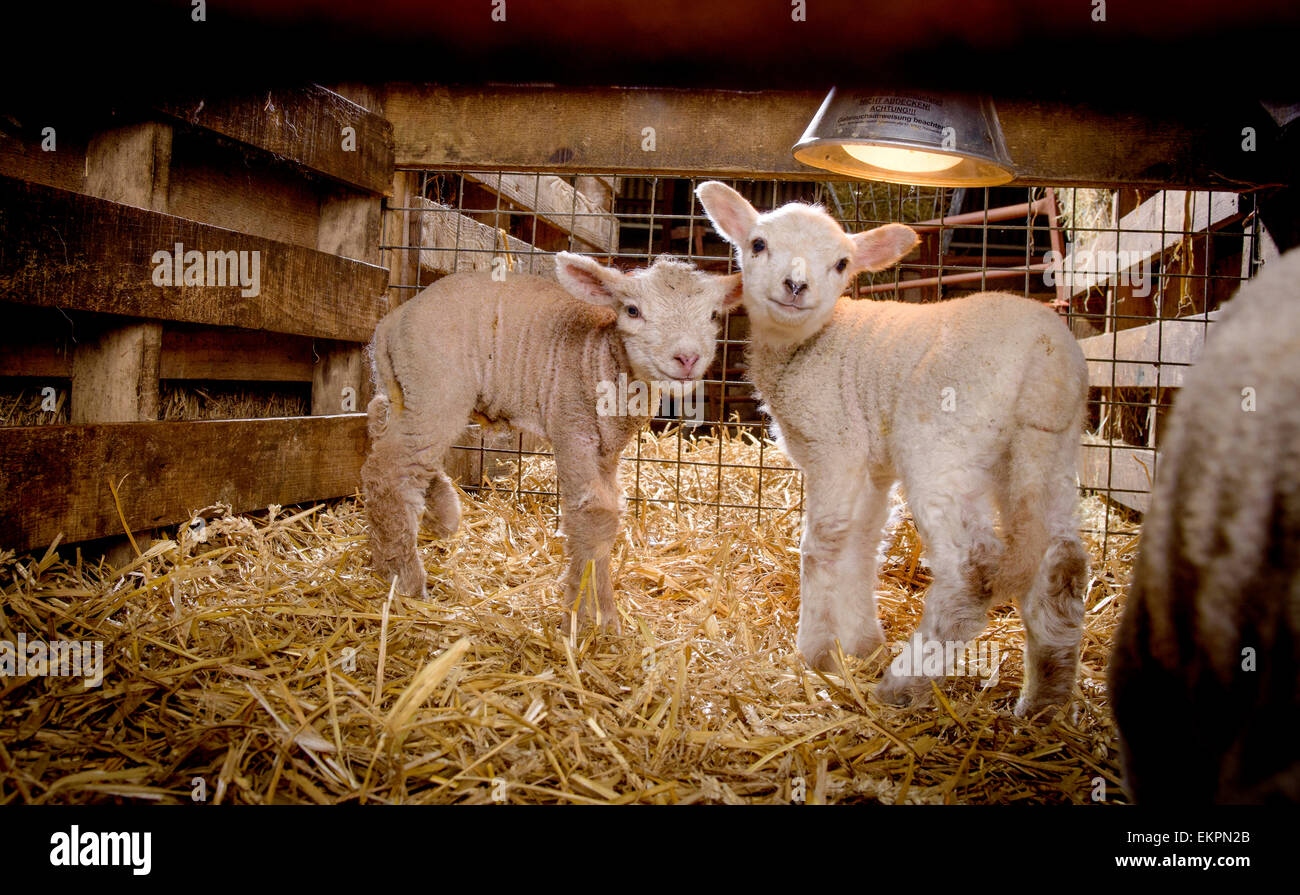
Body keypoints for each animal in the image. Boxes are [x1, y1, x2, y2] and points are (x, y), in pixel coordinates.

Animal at [361, 252, 743, 629]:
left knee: (382, 430)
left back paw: (433, 520)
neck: (600, 355)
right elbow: (593, 515)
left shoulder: (608, 448)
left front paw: (599, 613)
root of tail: (393, 320)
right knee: (391, 471)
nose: (687, 358)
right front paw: (588, 619)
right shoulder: (571, 424)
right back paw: (407, 581)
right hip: (436, 388)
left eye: (713, 315)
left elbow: (609, 514)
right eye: (632, 310)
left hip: (405, 390)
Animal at [702, 178, 1086, 718]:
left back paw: (903, 686)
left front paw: (816, 653)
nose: (796, 287)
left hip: (940, 444)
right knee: (1062, 564)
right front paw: (863, 644)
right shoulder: (872, 465)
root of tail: (1044, 360)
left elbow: (821, 547)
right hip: (1048, 451)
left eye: (842, 263)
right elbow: (862, 545)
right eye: (757, 244)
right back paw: (1043, 705)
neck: (812, 342)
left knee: (971, 570)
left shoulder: (835, 446)